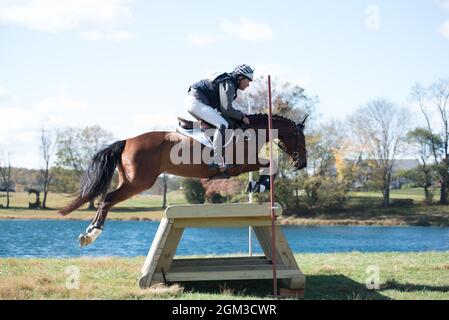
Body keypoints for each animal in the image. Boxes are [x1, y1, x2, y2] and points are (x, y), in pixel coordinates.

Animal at [57, 113, 306, 248]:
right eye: (299, 137)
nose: (302, 163)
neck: (250, 132)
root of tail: (127, 140)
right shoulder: (243, 164)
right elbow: (270, 166)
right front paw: (258, 184)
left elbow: (269, 166)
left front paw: (256, 184)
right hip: (140, 182)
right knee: (108, 199)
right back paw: (93, 233)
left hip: (130, 181)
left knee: (105, 199)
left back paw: (89, 233)